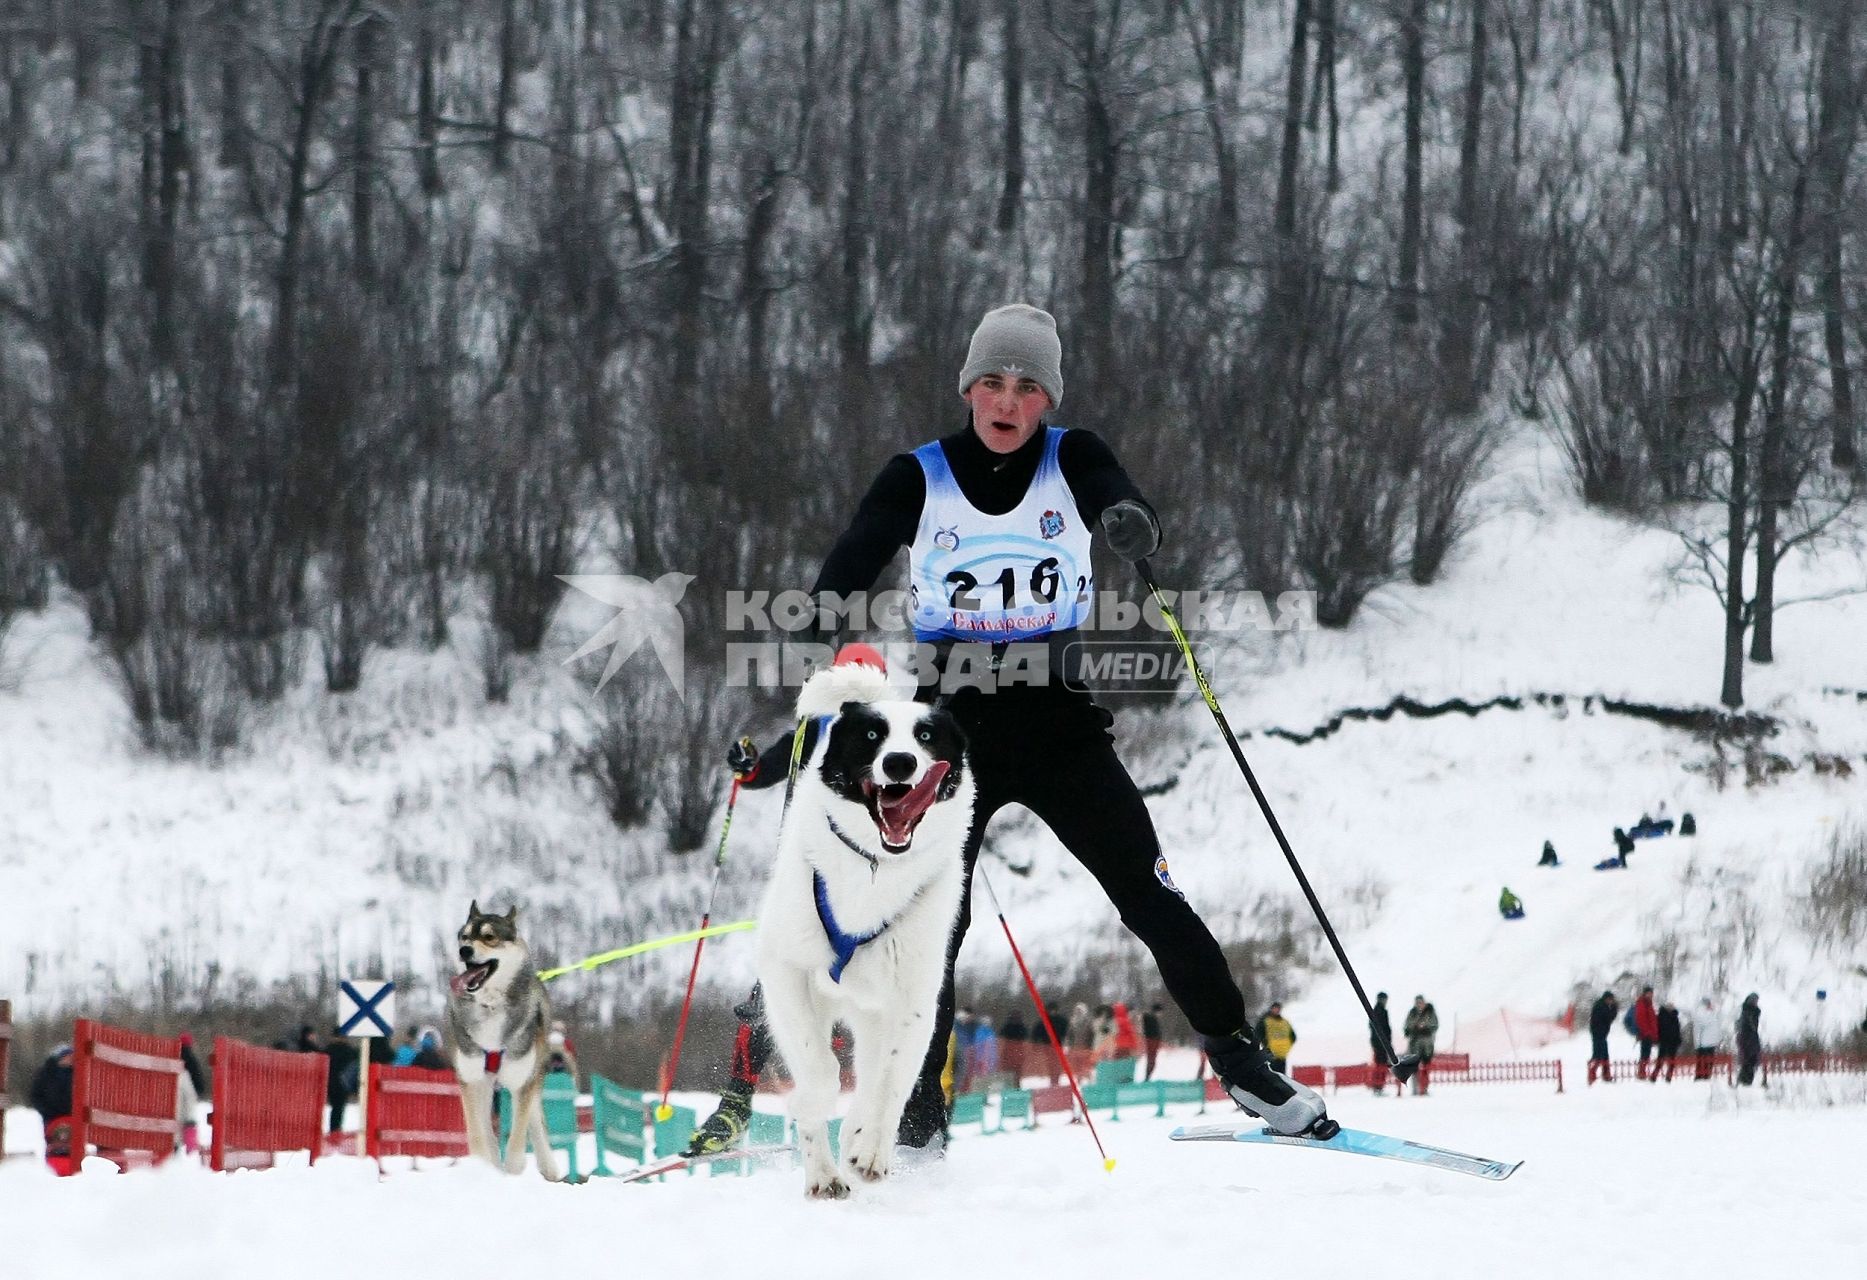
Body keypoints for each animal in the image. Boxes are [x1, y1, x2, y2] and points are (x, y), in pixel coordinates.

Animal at [444, 903, 560, 1186]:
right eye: (464, 936)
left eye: (489, 937)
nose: (464, 950)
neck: (491, 1005)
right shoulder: (470, 1079)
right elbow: (478, 1132)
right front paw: (483, 1167)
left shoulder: (523, 1080)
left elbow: (519, 1133)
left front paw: (514, 1170)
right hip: (485, 1085)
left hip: (534, 1070)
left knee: (535, 1117)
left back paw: (547, 1165)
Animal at [754, 660, 978, 1201]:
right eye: (873, 735)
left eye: (925, 736)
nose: (899, 762)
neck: (874, 869)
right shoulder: (786, 972)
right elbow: (819, 1073)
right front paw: (810, 1112)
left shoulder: (913, 998)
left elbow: (892, 1077)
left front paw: (871, 1146)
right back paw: (823, 1173)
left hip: (875, 1008)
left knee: (875, 1071)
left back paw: (856, 1138)